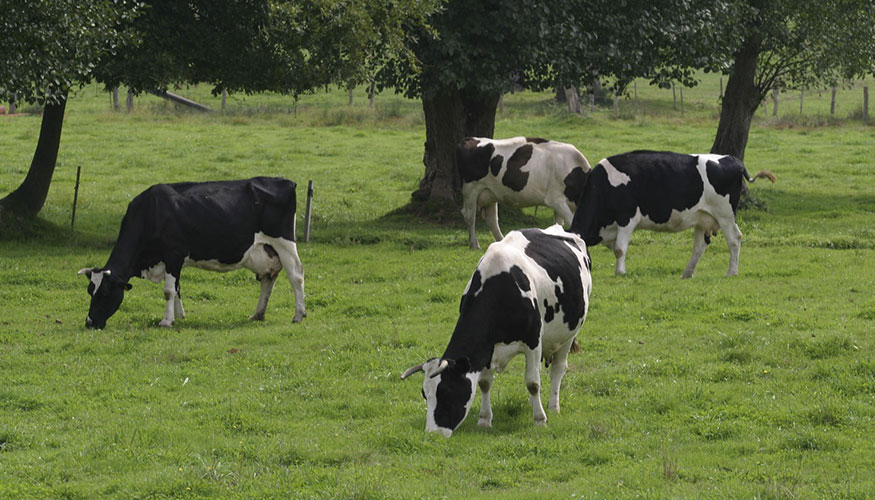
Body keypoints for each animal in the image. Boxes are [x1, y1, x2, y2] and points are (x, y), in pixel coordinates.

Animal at [76, 178, 308, 330]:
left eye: (105, 293)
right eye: (89, 291)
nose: (90, 323)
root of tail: (286, 181)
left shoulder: (173, 254)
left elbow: (168, 290)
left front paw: (166, 321)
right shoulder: (173, 261)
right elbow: (177, 288)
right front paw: (179, 316)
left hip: (284, 242)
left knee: (296, 276)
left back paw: (299, 315)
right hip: (267, 251)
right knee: (268, 279)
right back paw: (257, 314)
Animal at [404, 225, 596, 436]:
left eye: (447, 392)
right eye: (425, 394)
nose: (433, 433)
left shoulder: (533, 341)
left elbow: (533, 383)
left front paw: (540, 419)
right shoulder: (487, 348)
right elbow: (484, 383)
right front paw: (484, 419)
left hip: (569, 333)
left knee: (558, 369)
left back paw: (553, 407)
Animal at [456, 136, 592, 249]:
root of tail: (470, 139)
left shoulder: (561, 205)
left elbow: (559, 225)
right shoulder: (556, 200)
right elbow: (570, 222)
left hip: (490, 192)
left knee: (492, 219)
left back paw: (501, 240)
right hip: (471, 189)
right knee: (469, 216)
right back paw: (474, 244)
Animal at [572, 150, 776, 280]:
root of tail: (733, 159)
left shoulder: (627, 218)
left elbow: (620, 249)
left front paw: (620, 273)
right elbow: (616, 248)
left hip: (724, 215)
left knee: (734, 239)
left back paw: (731, 272)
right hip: (703, 218)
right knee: (699, 247)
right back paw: (687, 274)